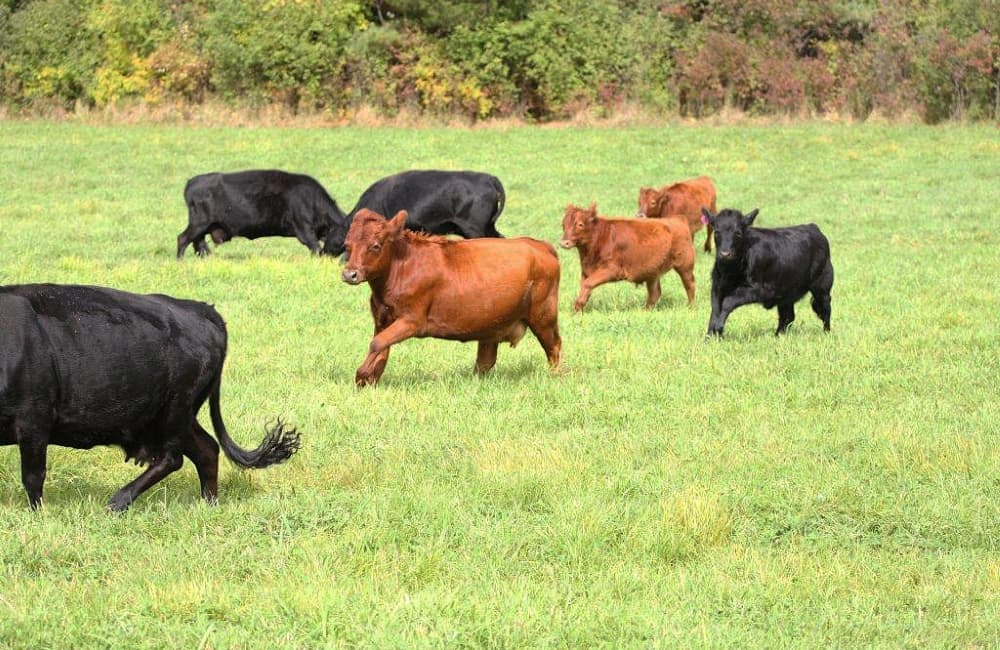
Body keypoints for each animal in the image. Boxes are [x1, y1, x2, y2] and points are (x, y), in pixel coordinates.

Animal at [0, 284, 301, 511]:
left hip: (176, 407)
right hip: (173, 415)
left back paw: (119, 501)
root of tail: (201, 308)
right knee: (207, 449)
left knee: (173, 457)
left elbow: (33, 476)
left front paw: (38, 515)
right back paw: (209, 503)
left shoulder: (34, 419)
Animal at [177, 169, 348, 258]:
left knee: (199, 243)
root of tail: (192, 181)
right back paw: (180, 261)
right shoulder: (304, 228)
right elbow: (315, 247)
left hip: (204, 226)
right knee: (183, 239)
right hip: (199, 223)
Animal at [340, 209, 561, 386]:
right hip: (492, 326)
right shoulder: (382, 320)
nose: (350, 274)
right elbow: (381, 346)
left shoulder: (411, 321)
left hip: (543, 316)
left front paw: (362, 374)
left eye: (376, 246)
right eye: (347, 245)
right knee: (485, 362)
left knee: (554, 346)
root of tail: (540, 245)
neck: (400, 268)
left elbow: (377, 343)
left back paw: (555, 377)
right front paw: (369, 379)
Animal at [559, 202, 696, 312]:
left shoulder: (612, 269)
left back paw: (691, 307)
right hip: (652, 271)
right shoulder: (586, 271)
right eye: (563, 224)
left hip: (685, 266)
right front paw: (579, 308)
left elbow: (588, 284)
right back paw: (645, 311)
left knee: (689, 284)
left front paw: (578, 306)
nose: (564, 242)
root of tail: (678, 219)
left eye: (580, 224)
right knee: (655, 293)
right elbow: (585, 284)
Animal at [701, 208, 834, 337]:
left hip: (822, 286)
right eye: (716, 232)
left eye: (738, 233)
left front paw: (718, 327)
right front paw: (710, 336)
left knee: (825, 310)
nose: (725, 254)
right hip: (786, 291)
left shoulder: (760, 289)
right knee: (788, 316)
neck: (729, 271)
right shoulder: (717, 288)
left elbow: (728, 302)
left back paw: (826, 333)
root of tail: (813, 227)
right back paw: (777, 335)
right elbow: (715, 308)